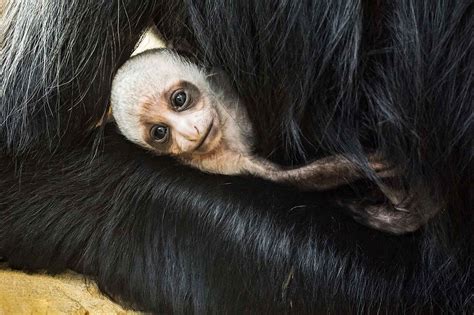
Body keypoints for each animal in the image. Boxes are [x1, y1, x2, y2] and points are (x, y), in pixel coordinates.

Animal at [111, 48, 430, 233]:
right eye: (160, 132)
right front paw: (368, 167)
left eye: (179, 100)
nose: (191, 133)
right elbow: (287, 180)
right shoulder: (219, 163)